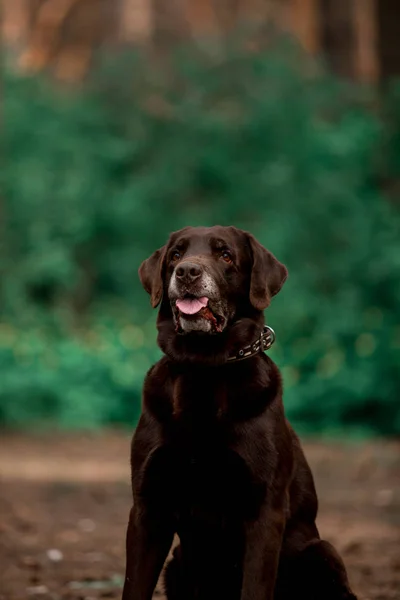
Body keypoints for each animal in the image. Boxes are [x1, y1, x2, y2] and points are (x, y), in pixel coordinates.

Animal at [122, 226, 356, 600]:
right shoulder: (148, 507)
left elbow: (256, 585)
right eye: (175, 254)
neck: (203, 367)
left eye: (226, 255)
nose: (186, 272)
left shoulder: (264, 509)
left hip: (321, 552)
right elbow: (134, 586)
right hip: (177, 563)